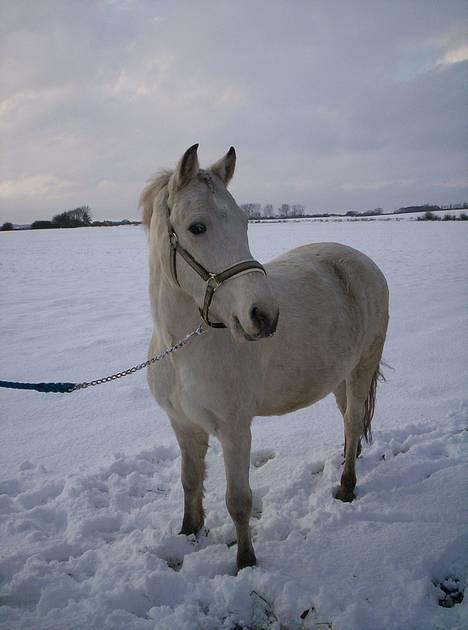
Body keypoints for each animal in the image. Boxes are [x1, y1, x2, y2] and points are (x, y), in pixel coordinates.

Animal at [139, 147, 388, 572]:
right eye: (197, 227)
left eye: (245, 223)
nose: (265, 316)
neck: (181, 350)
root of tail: (364, 262)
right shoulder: (183, 425)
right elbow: (190, 482)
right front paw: (189, 533)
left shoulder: (235, 430)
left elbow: (238, 502)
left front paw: (246, 562)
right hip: (340, 375)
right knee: (348, 424)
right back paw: (346, 460)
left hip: (362, 368)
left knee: (355, 421)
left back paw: (346, 487)